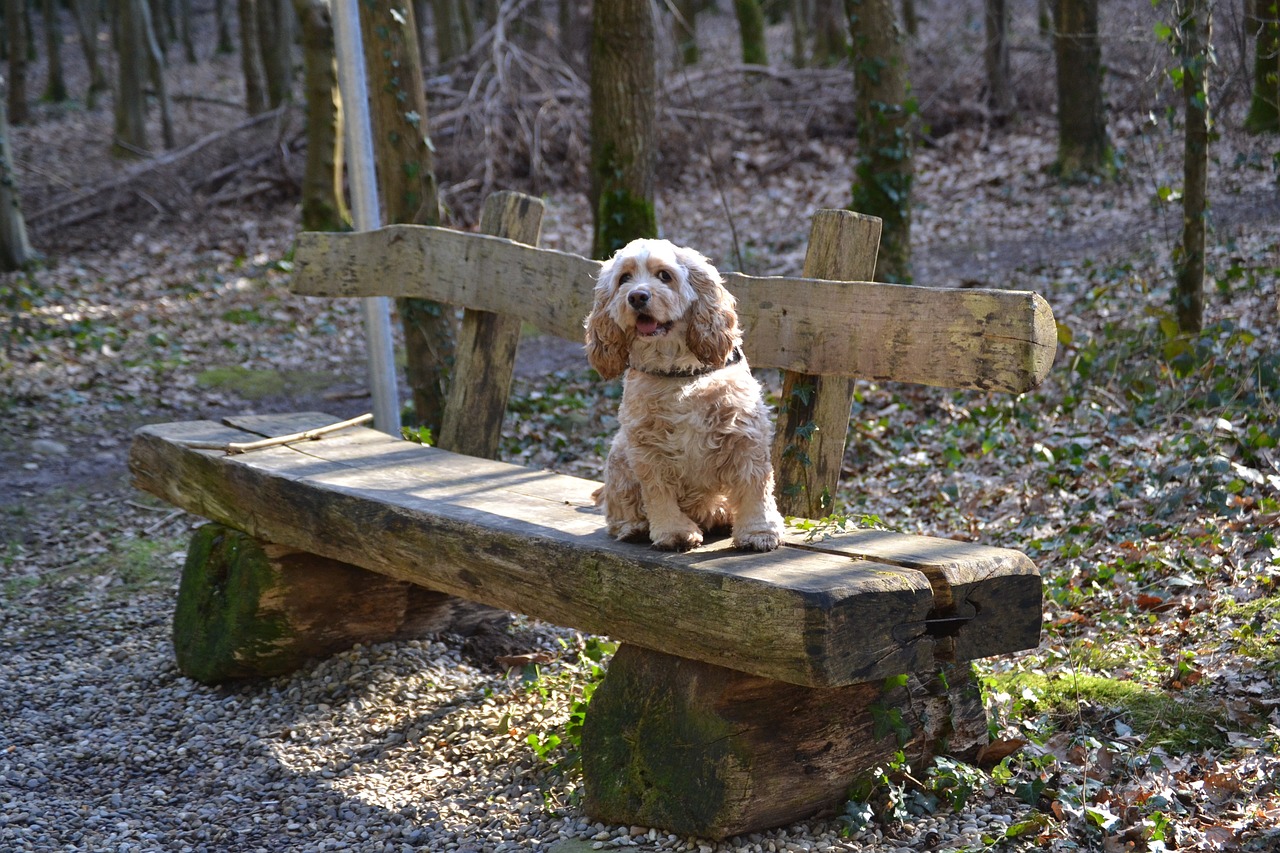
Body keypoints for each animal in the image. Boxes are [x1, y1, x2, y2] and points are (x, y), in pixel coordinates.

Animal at [586, 236, 783, 550]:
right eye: (624, 279)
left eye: (664, 275)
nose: (637, 297)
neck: (677, 372)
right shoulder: (647, 446)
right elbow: (658, 494)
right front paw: (673, 532)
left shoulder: (744, 435)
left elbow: (754, 487)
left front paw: (759, 532)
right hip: (619, 455)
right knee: (618, 507)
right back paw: (633, 527)